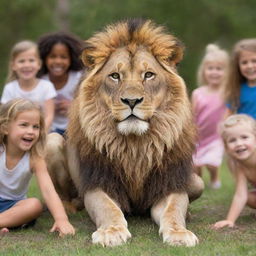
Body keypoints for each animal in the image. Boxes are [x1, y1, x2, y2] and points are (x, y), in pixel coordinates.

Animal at [46, 19, 204, 247]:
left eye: (148, 75)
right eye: (115, 76)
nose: (131, 101)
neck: (135, 147)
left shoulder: (169, 183)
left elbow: (173, 210)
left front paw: (179, 233)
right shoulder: (99, 183)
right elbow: (108, 208)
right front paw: (111, 232)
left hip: (197, 182)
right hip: (52, 144)